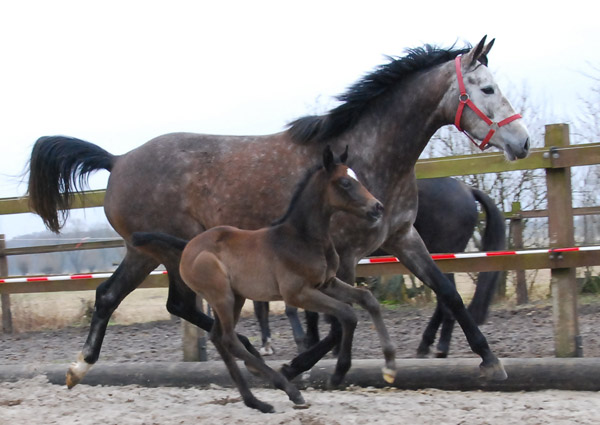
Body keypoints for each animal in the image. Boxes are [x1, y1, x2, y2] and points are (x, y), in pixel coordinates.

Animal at [132, 147, 396, 412]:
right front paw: (338, 374)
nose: (378, 207)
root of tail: (188, 247)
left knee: (218, 337)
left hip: (235, 297)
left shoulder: (326, 283)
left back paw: (256, 402)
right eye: (345, 182)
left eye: (356, 177)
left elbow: (367, 299)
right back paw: (289, 390)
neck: (303, 238)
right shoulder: (298, 293)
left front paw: (390, 366)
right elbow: (348, 314)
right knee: (228, 339)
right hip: (222, 295)